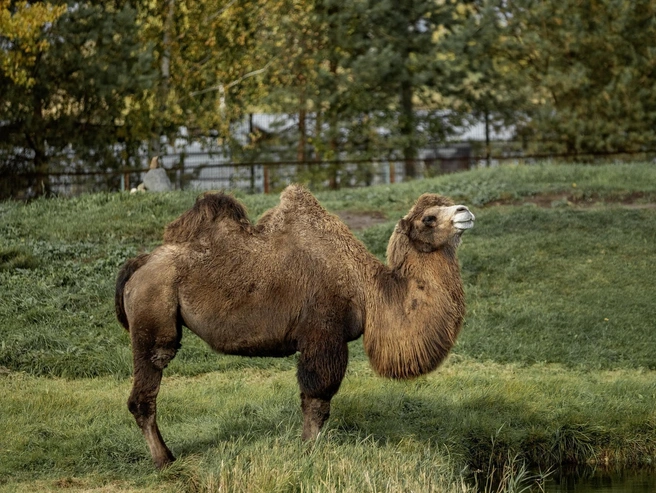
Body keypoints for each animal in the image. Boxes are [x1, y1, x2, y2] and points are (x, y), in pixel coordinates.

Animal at [115, 184, 475, 468]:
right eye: (429, 218)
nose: (466, 211)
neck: (368, 290)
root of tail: (140, 263)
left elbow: (314, 401)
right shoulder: (323, 333)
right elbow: (317, 400)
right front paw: (309, 453)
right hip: (153, 316)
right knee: (145, 391)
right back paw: (164, 460)